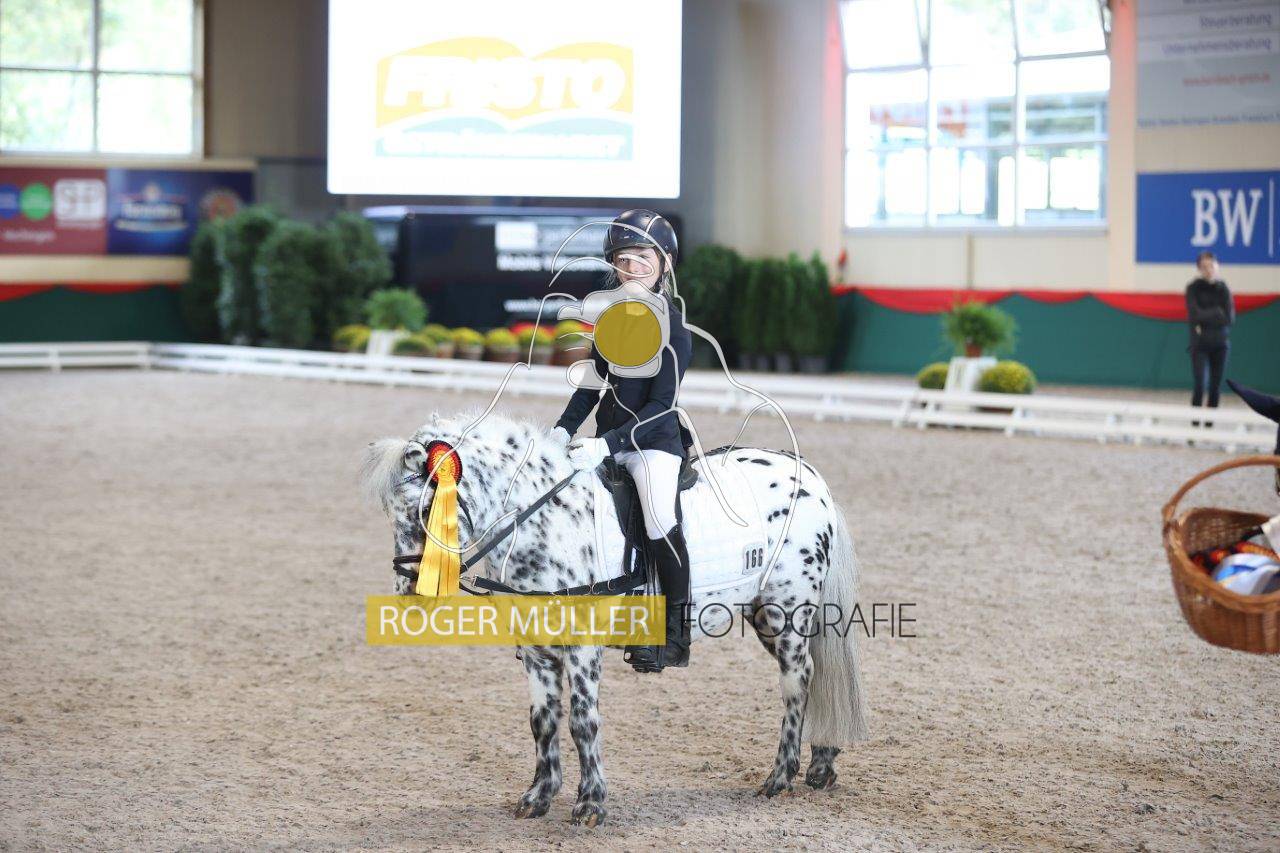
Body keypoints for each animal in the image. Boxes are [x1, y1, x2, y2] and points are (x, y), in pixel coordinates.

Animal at [360, 410, 869, 826]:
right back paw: (822, 766)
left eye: (429, 508)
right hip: (763, 614)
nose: (411, 592)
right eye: (390, 513)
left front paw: (590, 805)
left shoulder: (583, 649)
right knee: (818, 673)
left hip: (789, 612)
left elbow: (582, 721)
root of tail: (809, 477)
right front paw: (538, 797)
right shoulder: (536, 652)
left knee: (797, 682)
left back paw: (780, 777)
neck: (549, 524)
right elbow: (543, 721)